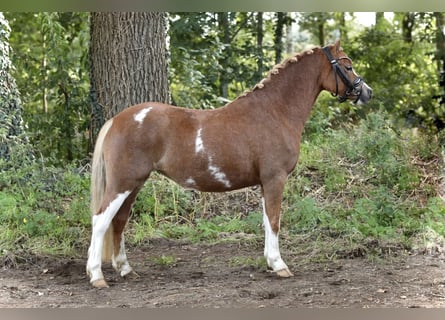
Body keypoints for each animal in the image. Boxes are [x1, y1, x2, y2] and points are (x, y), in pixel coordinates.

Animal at [86, 40, 372, 288]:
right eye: (347, 66)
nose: (367, 92)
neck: (275, 111)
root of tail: (117, 119)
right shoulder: (275, 178)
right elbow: (275, 220)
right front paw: (280, 265)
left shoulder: (264, 183)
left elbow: (266, 221)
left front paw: (270, 262)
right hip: (123, 183)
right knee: (101, 220)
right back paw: (97, 276)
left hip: (133, 185)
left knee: (119, 220)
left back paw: (125, 269)